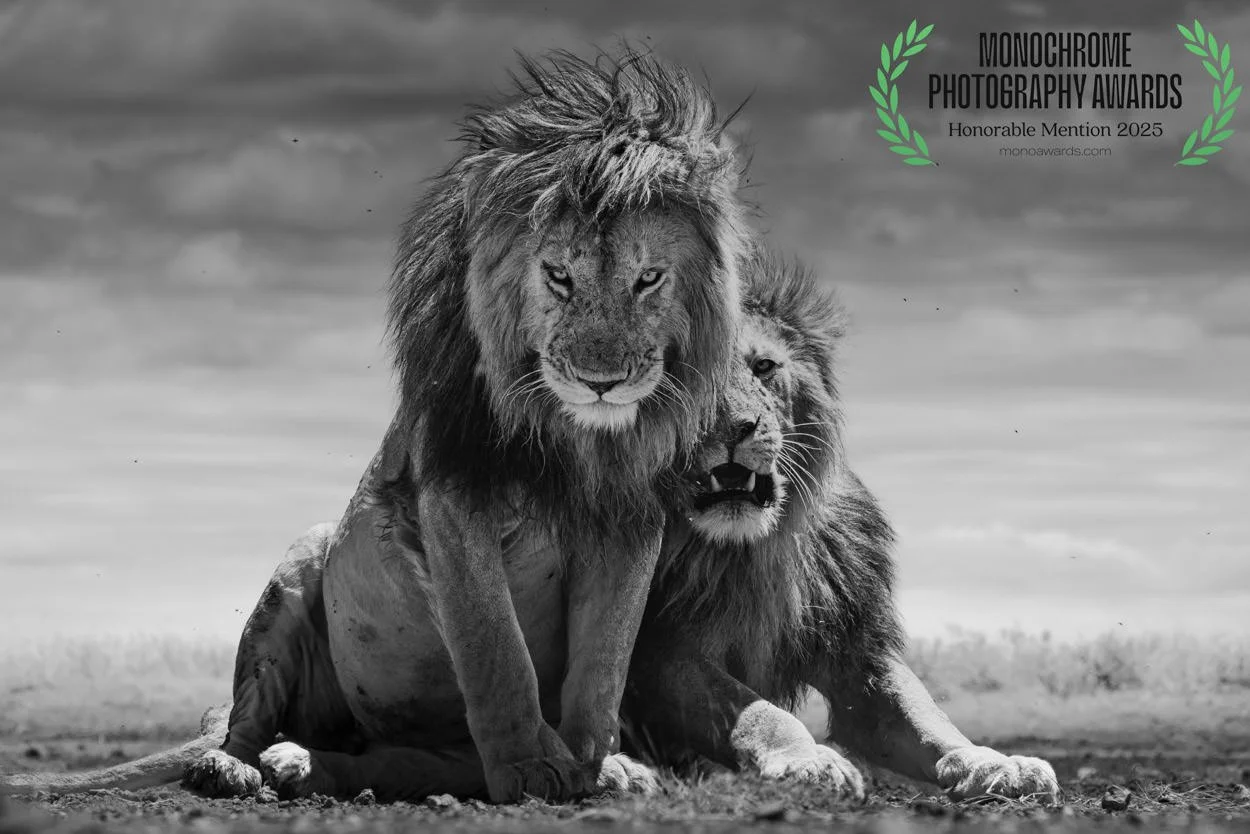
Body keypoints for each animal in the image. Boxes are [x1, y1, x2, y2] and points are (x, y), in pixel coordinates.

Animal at [0, 48, 749, 805]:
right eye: (558, 276)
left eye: (649, 278)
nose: (603, 380)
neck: (573, 438)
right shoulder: (449, 499)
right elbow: (495, 649)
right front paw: (532, 767)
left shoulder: (629, 524)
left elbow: (602, 664)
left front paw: (599, 766)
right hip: (299, 562)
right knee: (241, 720)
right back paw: (237, 768)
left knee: (405, 759)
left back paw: (305, 763)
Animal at [621, 248, 1062, 803]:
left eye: (763, 366)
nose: (733, 428)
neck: (756, 547)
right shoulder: (663, 651)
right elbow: (759, 713)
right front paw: (811, 760)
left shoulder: (859, 653)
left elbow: (927, 716)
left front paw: (997, 762)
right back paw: (617, 771)